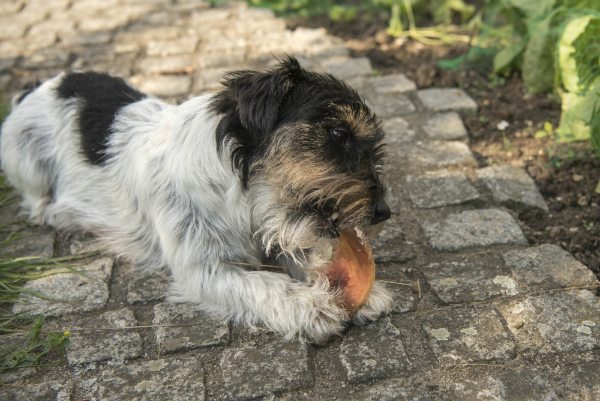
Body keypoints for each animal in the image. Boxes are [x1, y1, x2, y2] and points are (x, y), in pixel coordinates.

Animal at [1, 57, 394, 342]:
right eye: (338, 133)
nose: (384, 212)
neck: (240, 194)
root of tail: (35, 89)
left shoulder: (280, 232)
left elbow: (307, 258)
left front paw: (357, 292)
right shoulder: (203, 269)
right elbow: (264, 284)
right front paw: (311, 306)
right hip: (25, 160)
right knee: (37, 199)